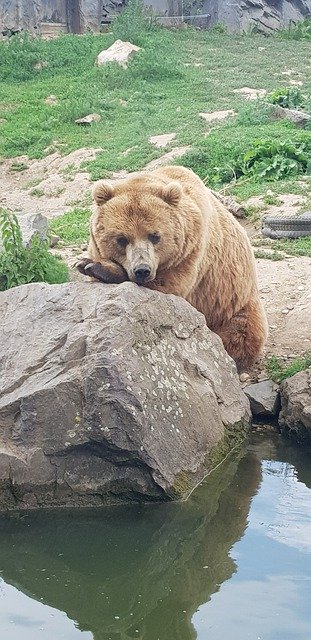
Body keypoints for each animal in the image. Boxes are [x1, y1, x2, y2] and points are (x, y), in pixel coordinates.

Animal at [77, 166, 268, 370]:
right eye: (121, 239)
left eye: (154, 236)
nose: (142, 270)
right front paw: (88, 264)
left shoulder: (190, 252)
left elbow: (169, 286)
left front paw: (96, 267)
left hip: (234, 303)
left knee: (240, 334)